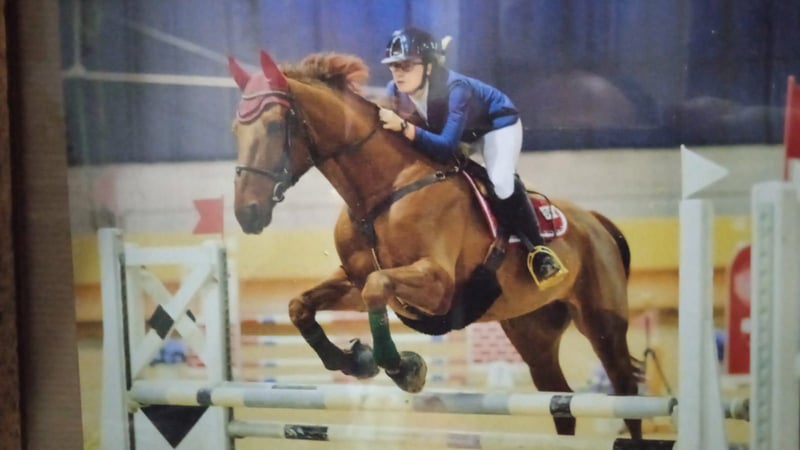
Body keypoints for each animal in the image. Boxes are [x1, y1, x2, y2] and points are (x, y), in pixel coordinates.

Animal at [228, 50, 643, 439]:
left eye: (274, 125)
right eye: (235, 129)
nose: (246, 213)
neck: (382, 192)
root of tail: (596, 221)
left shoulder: (439, 286)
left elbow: (377, 288)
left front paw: (404, 368)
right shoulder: (355, 280)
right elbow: (301, 305)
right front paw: (352, 360)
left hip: (603, 324)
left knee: (627, 393)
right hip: (533, 333)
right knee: (561, 403)